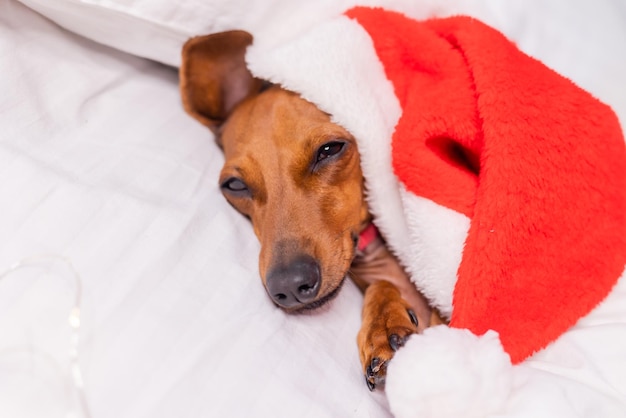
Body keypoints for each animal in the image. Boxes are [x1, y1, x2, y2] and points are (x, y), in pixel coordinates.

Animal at [178, 30, 442, 392]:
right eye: (234, 185)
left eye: (330, 149)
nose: (290, 286)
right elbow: (382, 288)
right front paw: (383, 324)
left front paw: (387, 321)